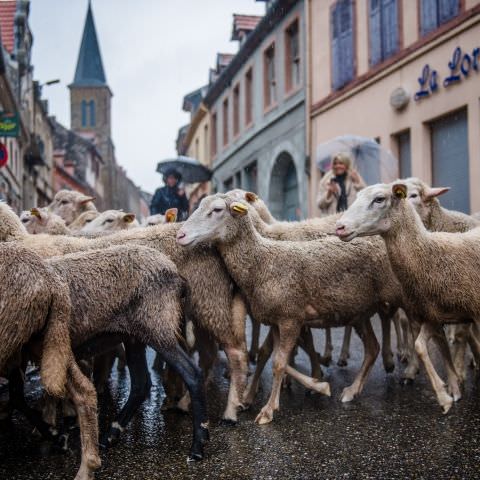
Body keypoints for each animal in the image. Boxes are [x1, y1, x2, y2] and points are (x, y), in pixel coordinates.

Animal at [0, 202, 248, 424]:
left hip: (208, 297)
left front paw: (53, 418)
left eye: (27, 219)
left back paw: (231, 410)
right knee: (206, 354)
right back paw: (181, 401)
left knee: (234, 351)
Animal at [174, 194, 404, 424]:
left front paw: (267, 410)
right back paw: (352, 390)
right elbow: (273, 356)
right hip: (358, 312)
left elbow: (278, 362)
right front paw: (318, 384)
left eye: (217, 210)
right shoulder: (277, 320)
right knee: (372, 347)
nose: (180, 235)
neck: (263, 262)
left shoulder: (290, 319)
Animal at [336, 182, 478, 414]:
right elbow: (424, 346)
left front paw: (448, 390)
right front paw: (450, 391)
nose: (339, 227)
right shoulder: (432, 314)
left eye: (379, 199)